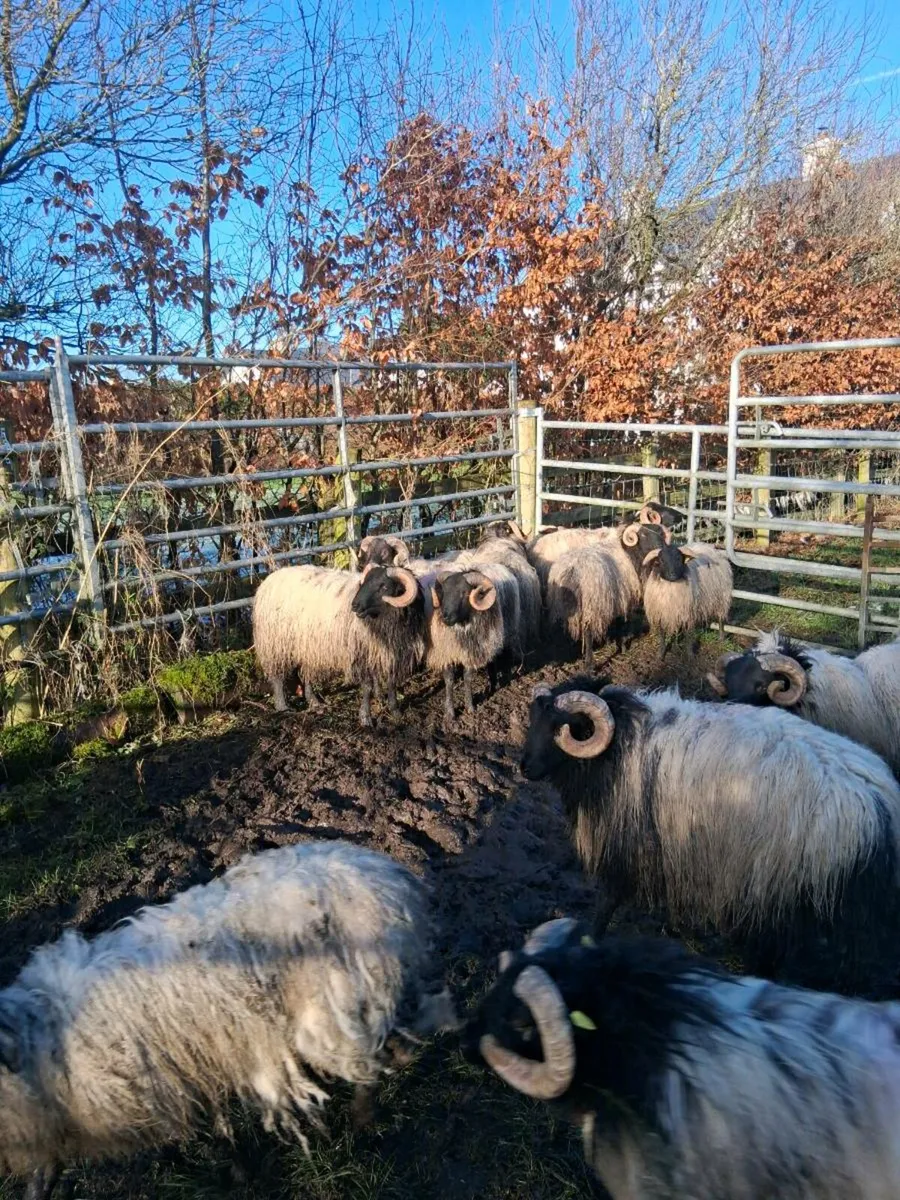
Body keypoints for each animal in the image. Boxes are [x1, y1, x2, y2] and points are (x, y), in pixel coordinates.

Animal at [0, 841, 456, 1200]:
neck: (39, 1038)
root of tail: (391, 879)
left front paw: (235, 1172)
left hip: (334, 1009)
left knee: (369, 1063)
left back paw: (363, 1122)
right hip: (366, 995)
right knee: (403, 1030)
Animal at [252, 562, 426, 726]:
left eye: (384, 586)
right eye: (364, 583)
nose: (355, 605)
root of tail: (269, 579)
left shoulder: (390, 653)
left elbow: (391, 683)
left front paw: (395, 712)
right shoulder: (360, 653)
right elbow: (367, 686)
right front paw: (365, 718)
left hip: (306, 645)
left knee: (306, 673)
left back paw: (314, 703)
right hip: (275, 644)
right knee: (277, 676)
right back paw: (283, 707)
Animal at [521, 678, 900, 993]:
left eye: (561, 727)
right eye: (534, 719)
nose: (524, 768)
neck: (619, 744)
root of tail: (880, 803)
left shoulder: (628, 841)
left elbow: (608, 901)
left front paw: (589, 942)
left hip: (788, 885)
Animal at [546, 523, 667, 666]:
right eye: (643, 534)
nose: (661, 545)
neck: (627, 552)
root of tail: (572, 570)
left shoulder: (617, 597)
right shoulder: (624, 597)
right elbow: (622, 622)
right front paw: (623, 647)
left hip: (559, 604)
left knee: (556, 629)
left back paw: (556, 661)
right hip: (591, 604)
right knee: (588, 633)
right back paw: (589, 664)